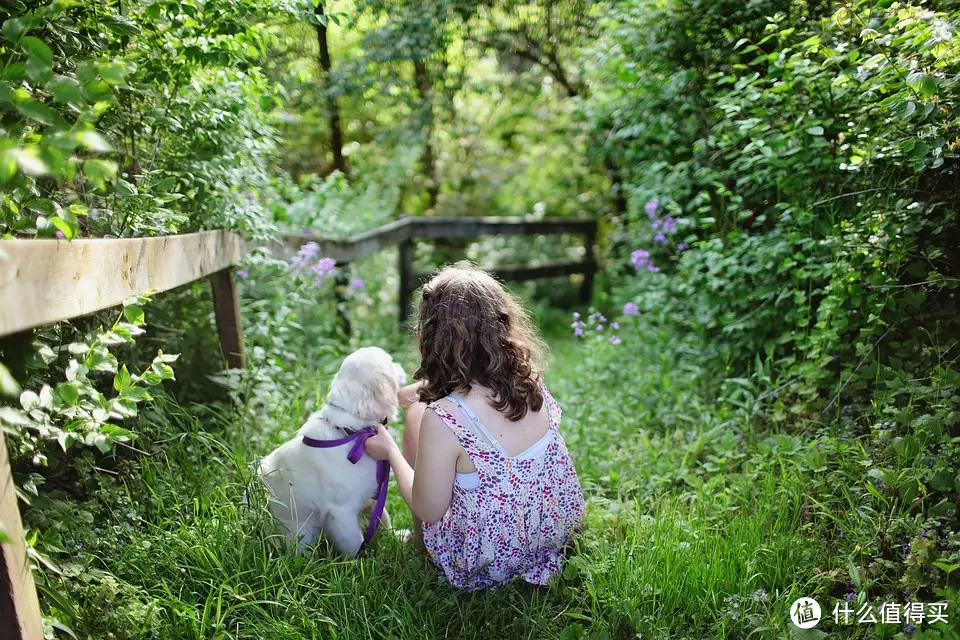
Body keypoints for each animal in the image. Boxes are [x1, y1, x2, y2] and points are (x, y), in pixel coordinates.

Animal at [258, 348, 404, 552]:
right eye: (390, 362)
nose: (401, 366)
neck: (352, 432)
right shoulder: (341, 513)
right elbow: (354, 543)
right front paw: (362, 558)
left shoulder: (373, 497)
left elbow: (383, 518)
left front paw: (397, 536)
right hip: (303, 534)